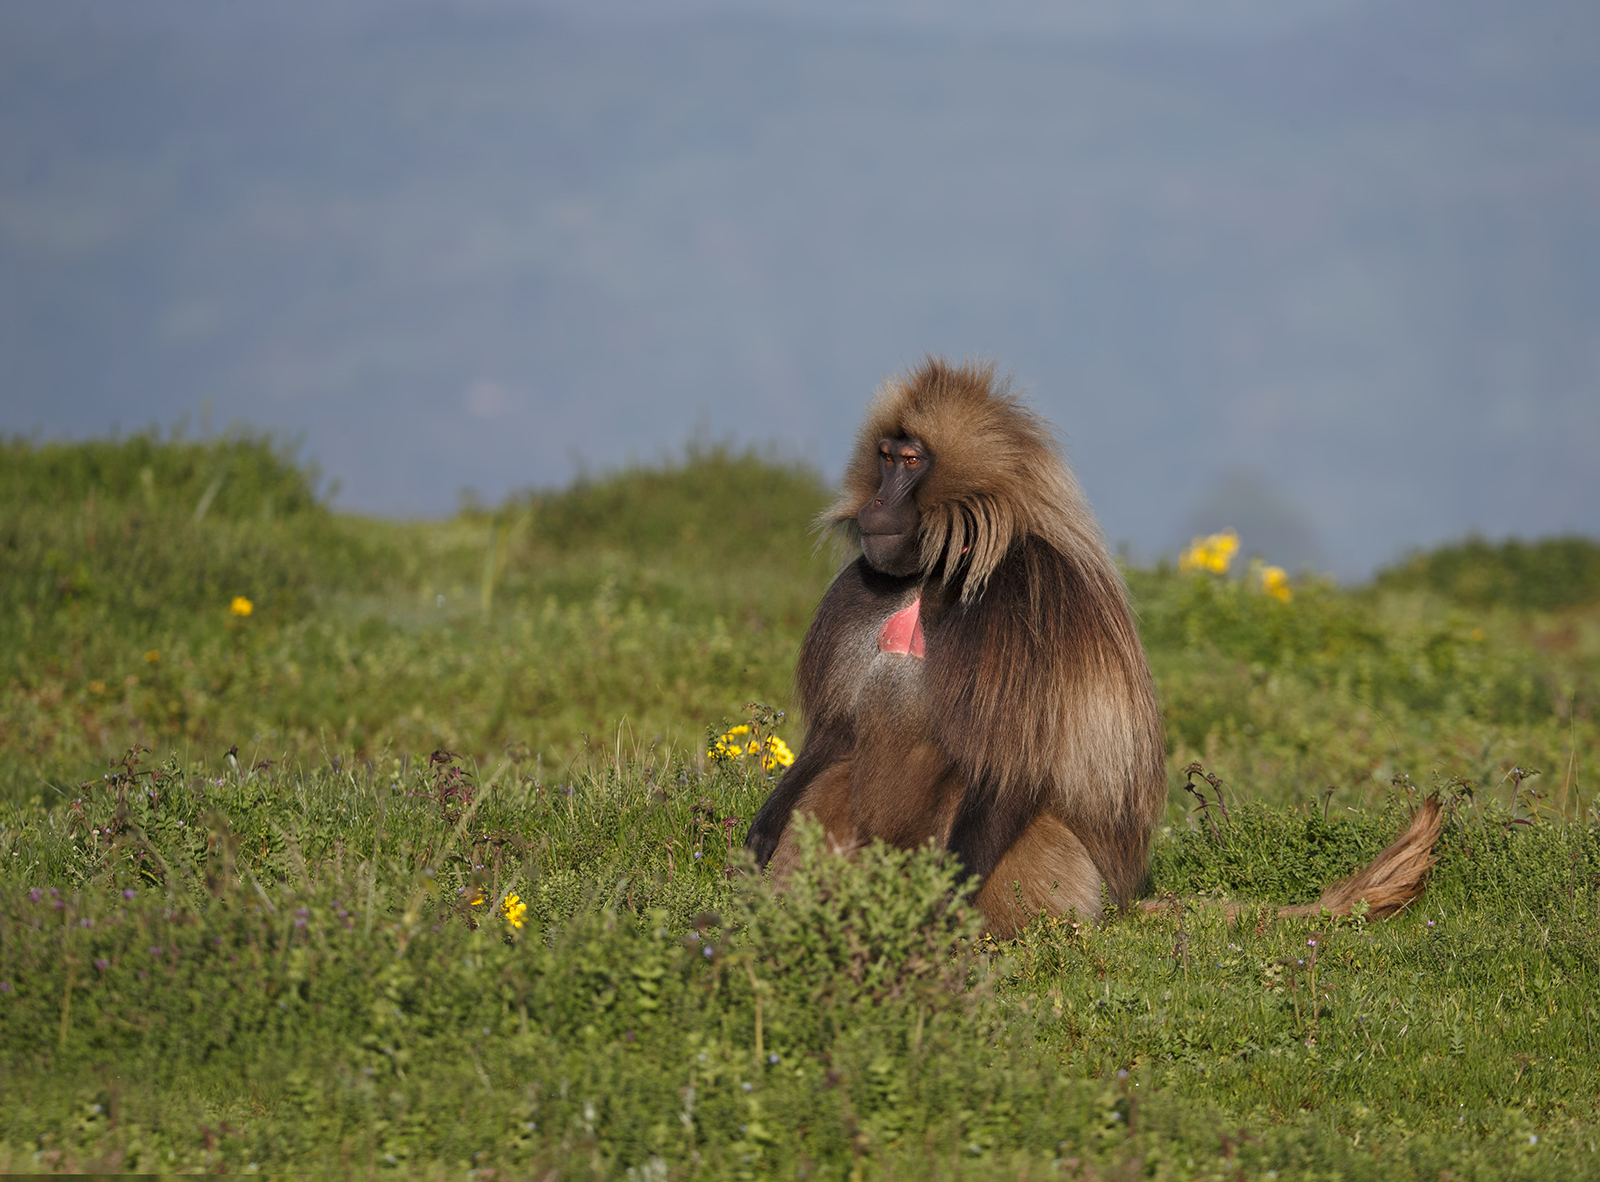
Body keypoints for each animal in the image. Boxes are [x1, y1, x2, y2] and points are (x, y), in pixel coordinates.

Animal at [745, 358, 1442, 937]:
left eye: (912, 462)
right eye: (886, 456)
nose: (877, 504)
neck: (937, 572)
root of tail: (1121, 901)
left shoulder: (1022, 603)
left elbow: (1010, 766)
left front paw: (934, 912)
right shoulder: (862, 590)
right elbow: (836, 733)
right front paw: (758, 841)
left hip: (1057, 871)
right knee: (833, 779)